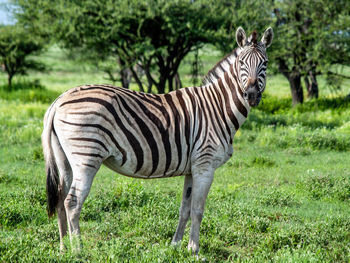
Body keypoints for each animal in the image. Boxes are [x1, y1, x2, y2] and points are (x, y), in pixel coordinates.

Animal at [41, 26, 274, 256]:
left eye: (265, 63)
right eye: (241, 63)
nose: (252, 95)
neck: (218, 108)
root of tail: (59, 100)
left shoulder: (192, 168)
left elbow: (184, 209)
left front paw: (176, 245)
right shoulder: (205, 165)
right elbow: (198, 210)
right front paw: (195, 250)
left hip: (64, 158)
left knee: (61, 198)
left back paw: (63, 247)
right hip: (86, 156)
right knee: (73, 202)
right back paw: (78, 250)